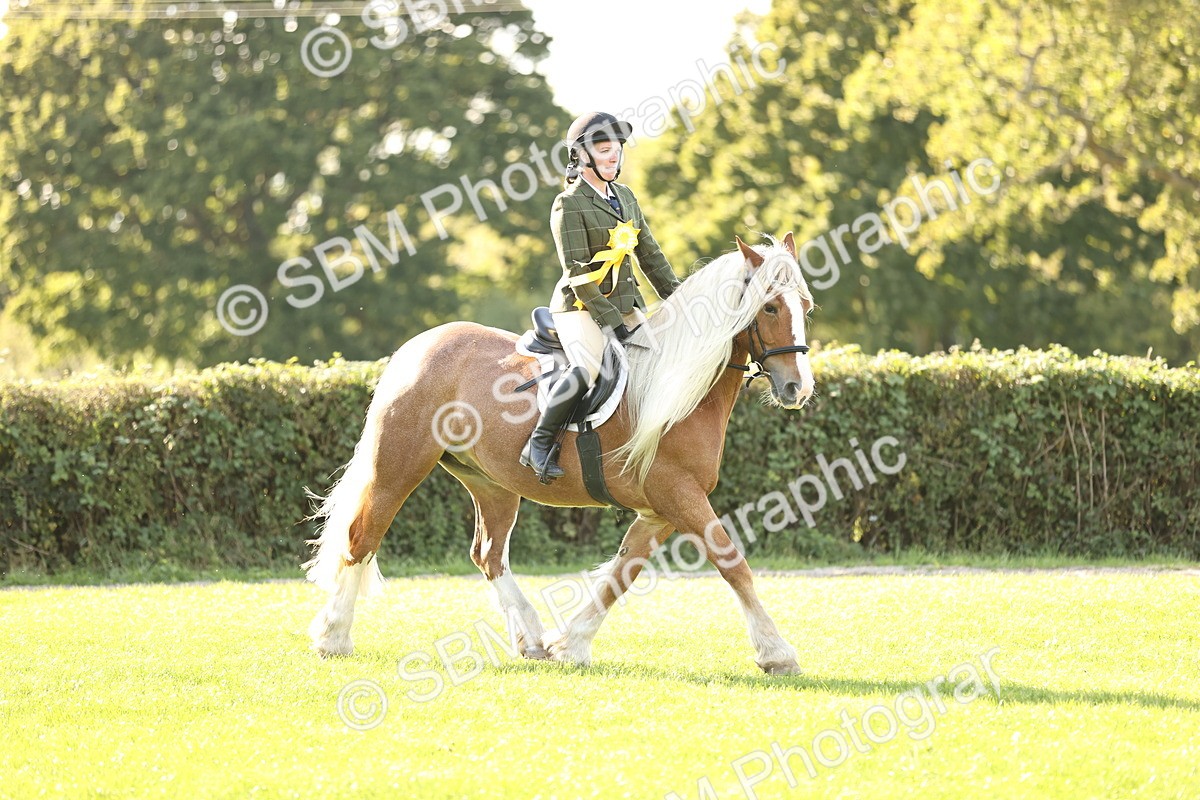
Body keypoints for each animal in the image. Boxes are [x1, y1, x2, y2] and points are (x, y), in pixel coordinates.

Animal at [304, 233, 816, 674]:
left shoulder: (659, 510)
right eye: (770, 306)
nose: (798, 388)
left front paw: (570, 644)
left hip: (491, 484)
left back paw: (531, 639)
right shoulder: (678, 494)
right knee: (361, 538)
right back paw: (333, 637)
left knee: (488, 554)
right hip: (398, 467)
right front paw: (777, 653)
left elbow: (620, 574)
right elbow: (732, 563)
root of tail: (419, 345)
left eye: (805, 306)